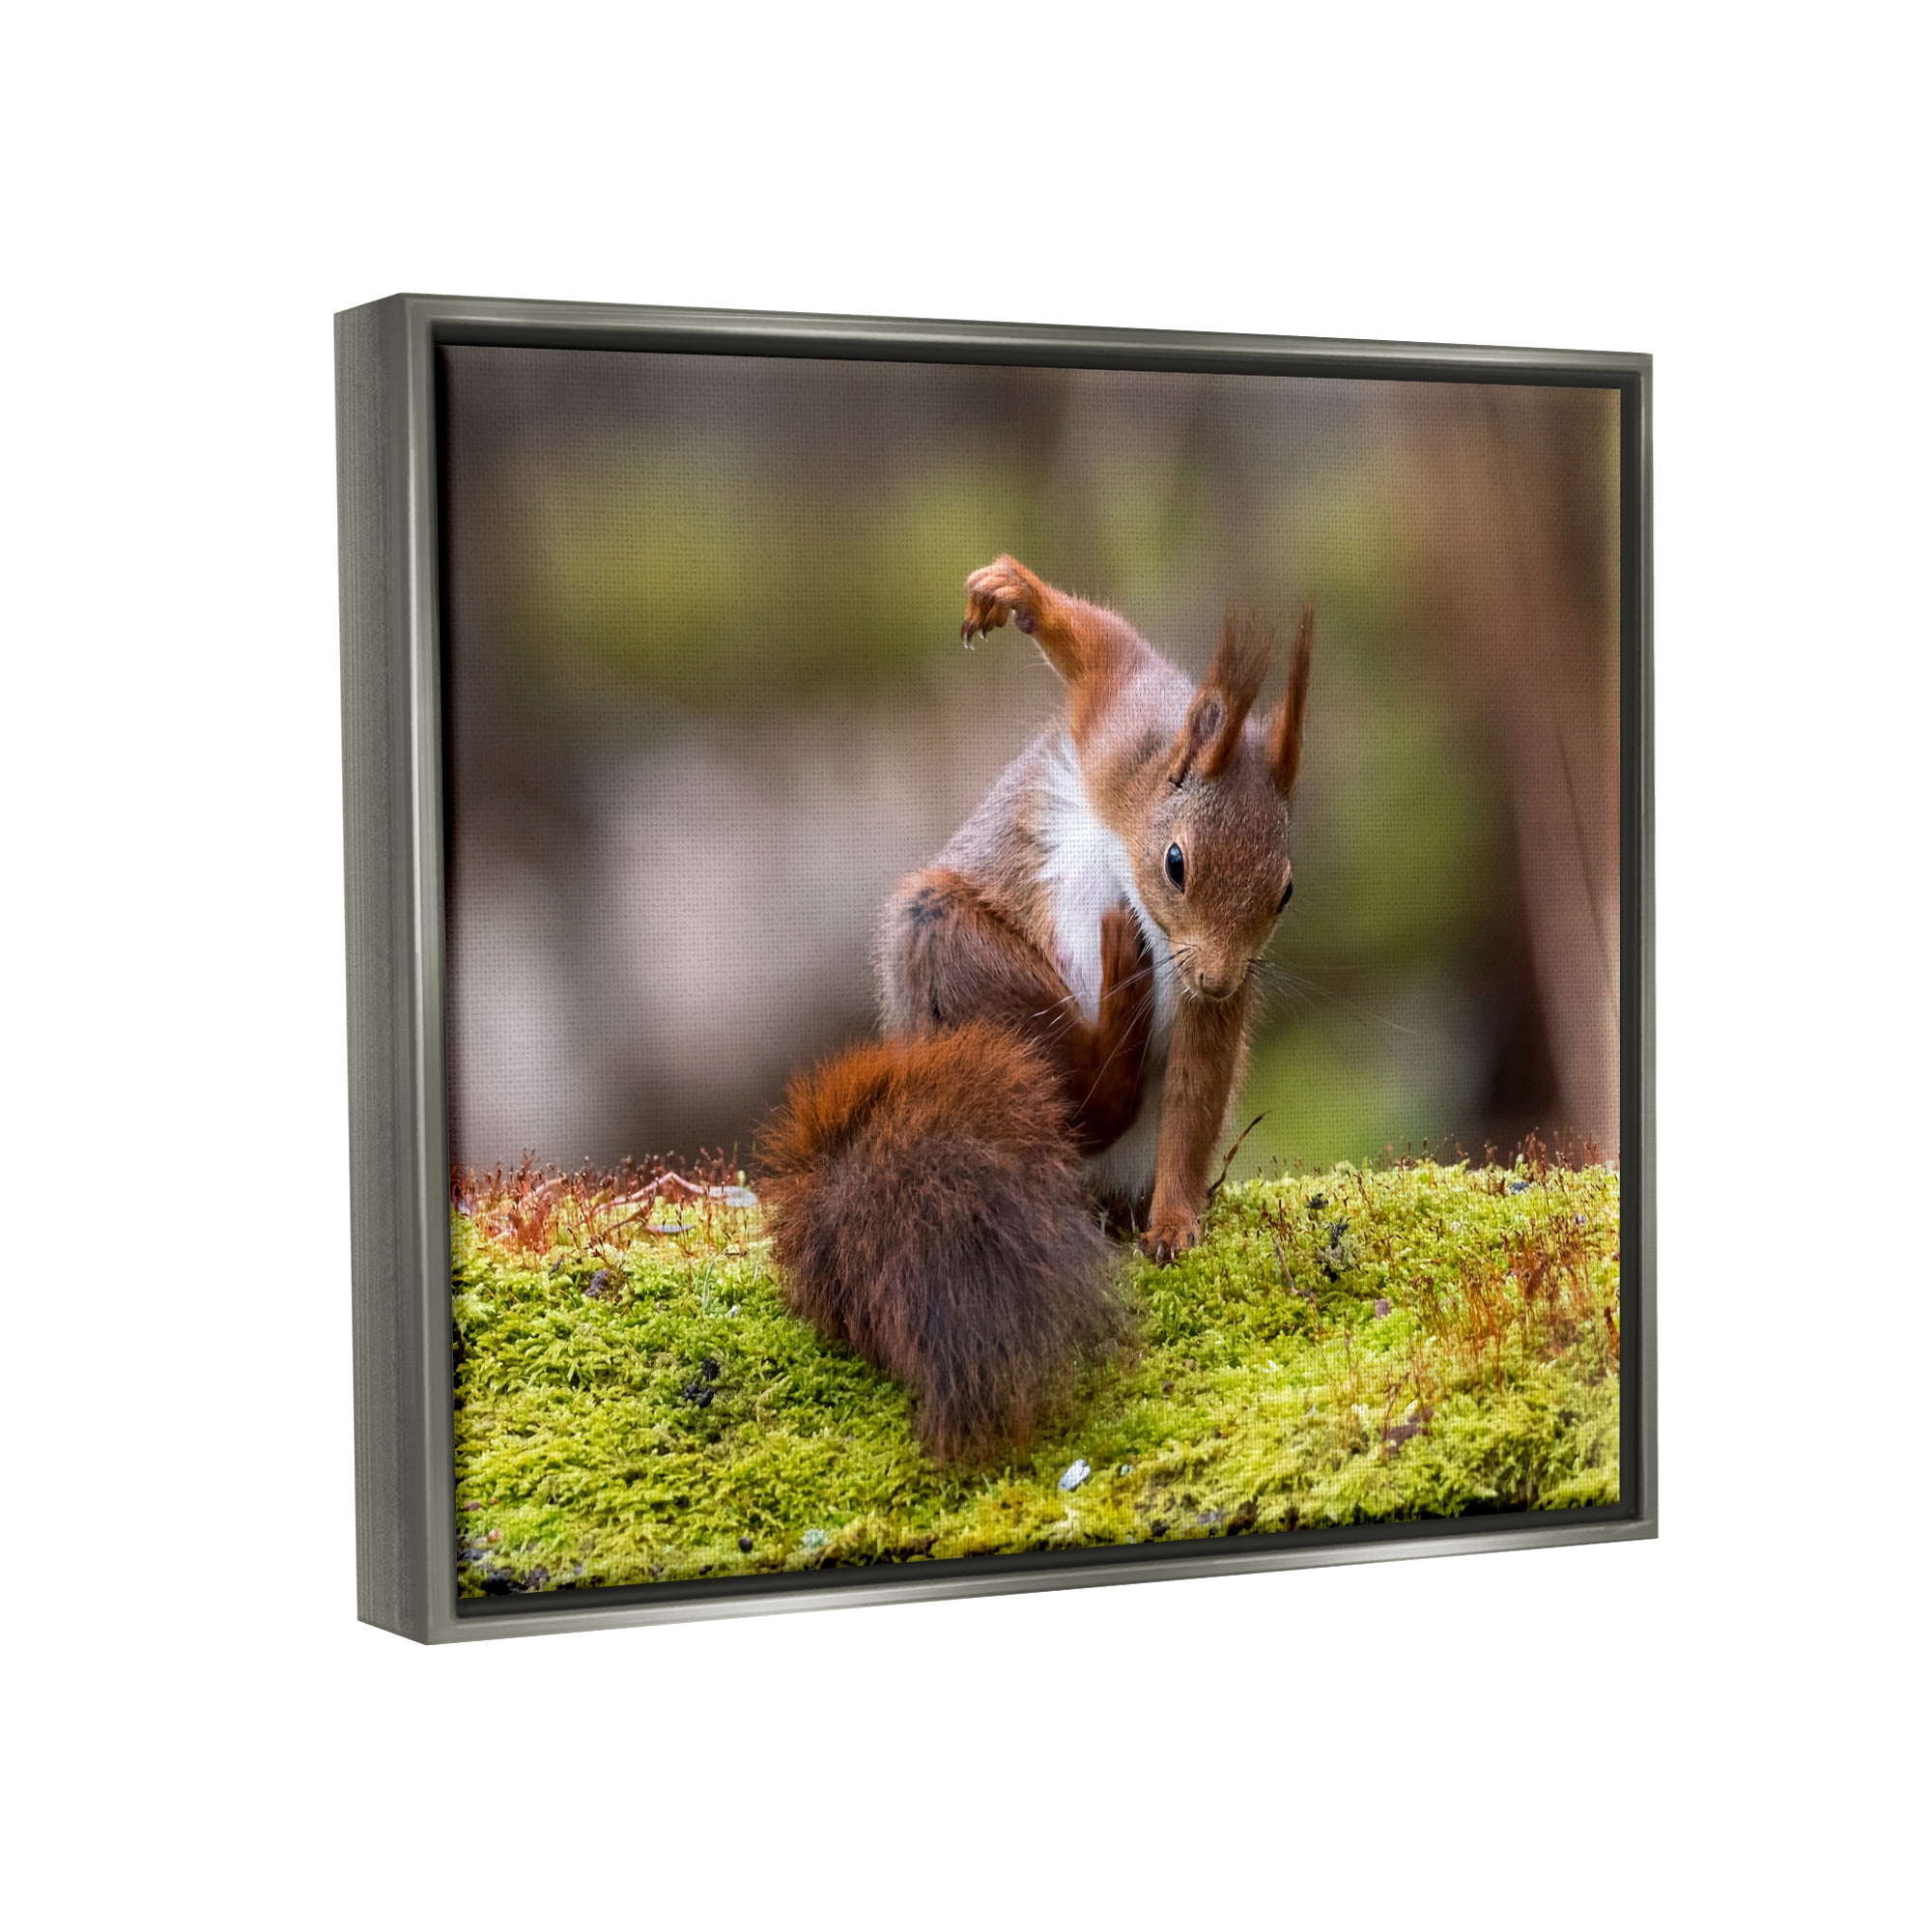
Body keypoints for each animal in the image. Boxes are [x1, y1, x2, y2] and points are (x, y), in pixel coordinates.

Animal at [758, 556, 1314, 1463]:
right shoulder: (1120, 727)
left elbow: (1196, 1095)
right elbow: (1100, 646)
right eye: (1177, 863)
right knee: (1080, 1096)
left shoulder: (1207, 1003)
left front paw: (1174, 1223)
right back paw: (1115, 1014)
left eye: (1285, 892)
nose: (1220, 979)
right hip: (949, 947)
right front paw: (1014, 593)